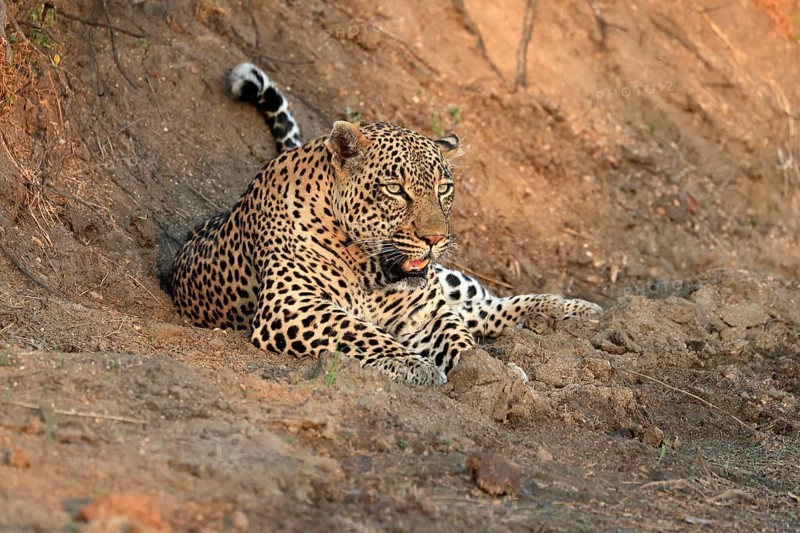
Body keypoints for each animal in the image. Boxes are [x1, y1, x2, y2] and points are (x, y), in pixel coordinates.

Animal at [170, 62, 602, 386]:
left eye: (444, 188)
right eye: (395, 189)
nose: (435, 238)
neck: (370, 268)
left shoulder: (426, 313)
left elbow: (459, 338)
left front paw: (488, 373)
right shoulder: (289, 305)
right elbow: (357, 330)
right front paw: (414, 363)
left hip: (448, 280)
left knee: (481, 306)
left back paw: (568, 309)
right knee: (477, 313)